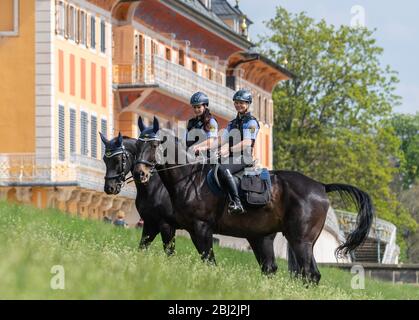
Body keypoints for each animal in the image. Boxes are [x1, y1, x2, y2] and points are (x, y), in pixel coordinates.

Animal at [134, 117, 374, 282]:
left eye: (154, 145)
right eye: (137, 144)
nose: (139, 173)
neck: (190, 179)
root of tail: (321, 186)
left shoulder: (200, 228)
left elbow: (208, 261)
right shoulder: (169, 226)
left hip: (301, 240)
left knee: (309, 273)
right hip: (272, 238)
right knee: (284, 271)